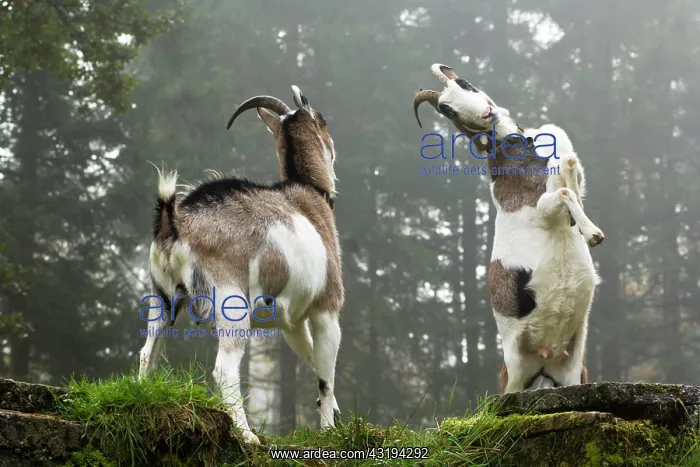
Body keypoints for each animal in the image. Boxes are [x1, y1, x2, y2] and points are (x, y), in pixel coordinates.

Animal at [139, 85, 343, 444]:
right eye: (323, 121)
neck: (309, 196)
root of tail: (174, 222)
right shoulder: (326, 308)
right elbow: (325, 377)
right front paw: (329, 430)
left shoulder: (291, 322)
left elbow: (312, 358)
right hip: (230, 301)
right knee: (224, 367)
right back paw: (246, 434)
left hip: (162, 297)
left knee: (148, 352)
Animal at [414, 64, 603, 392]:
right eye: (446, 109)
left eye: (466, 83)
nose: (488, 113)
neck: (522, 150)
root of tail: (544, 359)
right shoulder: (539, 209)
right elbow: (564, 191)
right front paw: (592, 234)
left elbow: (568, 164)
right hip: (513, 372)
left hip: (573, 368)